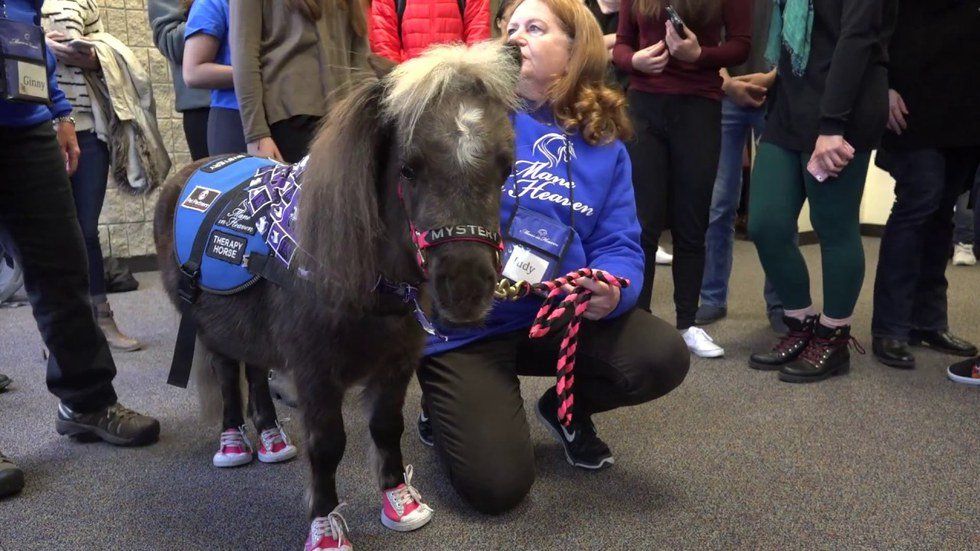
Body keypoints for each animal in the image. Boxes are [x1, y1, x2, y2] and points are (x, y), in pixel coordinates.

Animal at [153, 44, 520, 551]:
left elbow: (386, 428)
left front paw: (399, 502)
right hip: (211, 327)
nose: (465, 290)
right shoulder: (316, 374)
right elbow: (327, 448)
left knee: (256, 368)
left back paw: (270, 437)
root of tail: (189, 171)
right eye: (409, 167)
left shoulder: (396, 363)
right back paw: (234, 443)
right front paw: (325, 527)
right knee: (229, 375)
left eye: (505, 167)